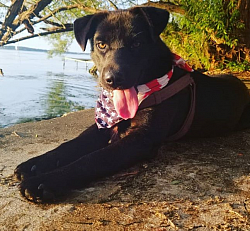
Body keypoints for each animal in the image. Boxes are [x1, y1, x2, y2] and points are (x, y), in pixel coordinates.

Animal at [14, 6, 250, 202]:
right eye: (101, 44)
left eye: (137, 44)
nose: (113, 79)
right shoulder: (105, 124)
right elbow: (71, 144)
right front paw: (34, 164)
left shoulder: (142, 138)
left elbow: (94, 158)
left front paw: (45, 181)